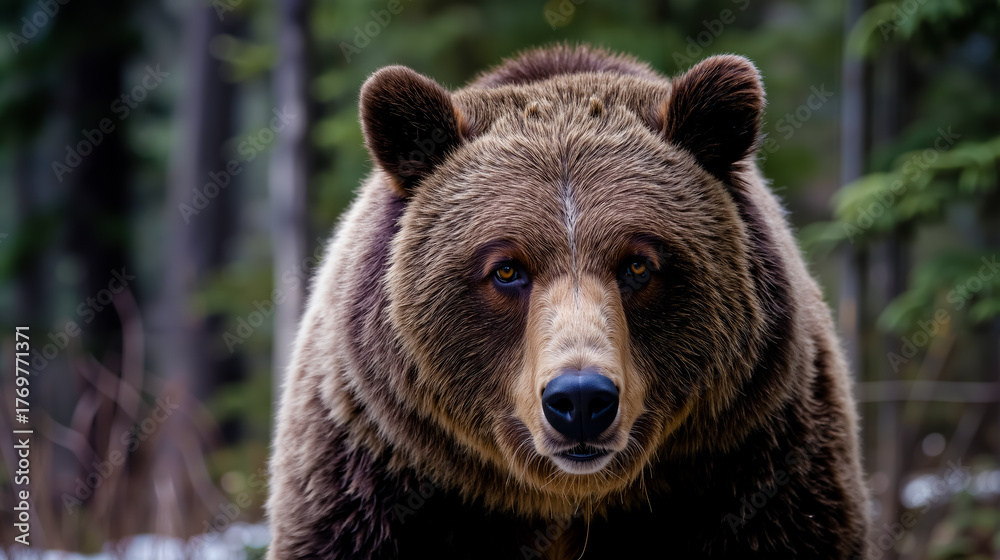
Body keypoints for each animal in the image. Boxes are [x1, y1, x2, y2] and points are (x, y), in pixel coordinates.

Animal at [266, 44, 870, 559]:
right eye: (507, 269)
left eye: (638, 264)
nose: (580, 399)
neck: (563, 499)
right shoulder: (377, 476)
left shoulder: (755, 468)